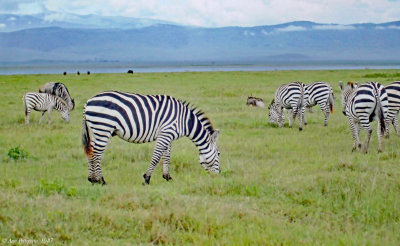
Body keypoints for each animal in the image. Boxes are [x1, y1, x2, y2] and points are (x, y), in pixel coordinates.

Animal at [80, 91, 219, 185]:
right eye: (219, 154)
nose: (218, 175)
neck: (184, 121)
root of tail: (88, 102)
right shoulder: (166, 134)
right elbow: (156, 157)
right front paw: (146, 178)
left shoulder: (168, 135)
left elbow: (166, 156)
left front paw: (167, 177)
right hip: (103, 128)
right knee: (97, 154)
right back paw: (101, 180)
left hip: (97, 130)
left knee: (91, 151)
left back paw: (92, 179)